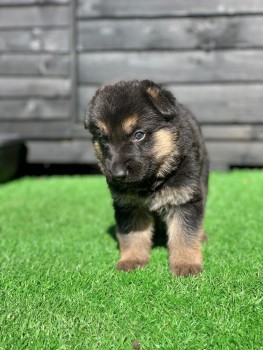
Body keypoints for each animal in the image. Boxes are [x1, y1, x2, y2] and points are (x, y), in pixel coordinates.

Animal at [85, 79, 209, 276]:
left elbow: (185, 234)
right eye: (103, 139)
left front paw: (186, 264)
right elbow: (133, 235)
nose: (117, 174)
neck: (151, 182)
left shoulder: (184, 199)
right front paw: (132, 259)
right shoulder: (129, 205)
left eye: (139, 135)